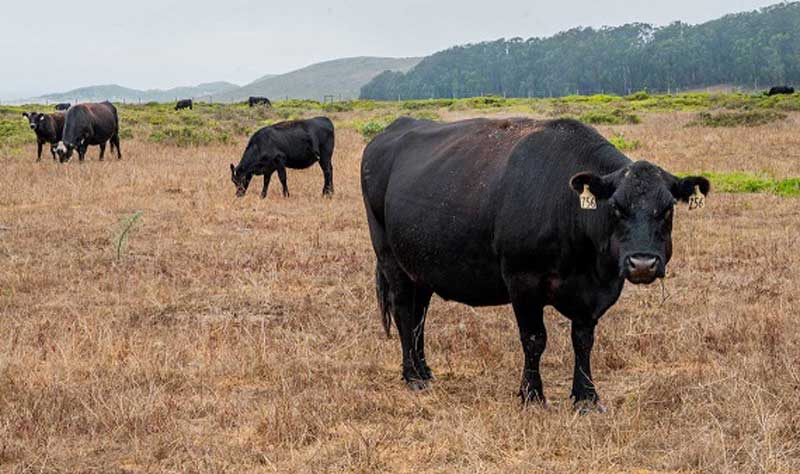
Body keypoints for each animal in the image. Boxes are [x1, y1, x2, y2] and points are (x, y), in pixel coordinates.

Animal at [362, 116, 712, 410]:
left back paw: (424, 369)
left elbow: (583, 341)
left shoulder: (594, 294)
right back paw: (412, 376)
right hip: (391, 259)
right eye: (616, 207)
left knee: (419, 316)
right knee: (405, 312)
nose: (642, 263)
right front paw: (532, 395)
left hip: (419, 268)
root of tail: (394, 128)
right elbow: (534, 340)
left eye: (667, 209)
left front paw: (586, 396)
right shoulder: (523, 281)